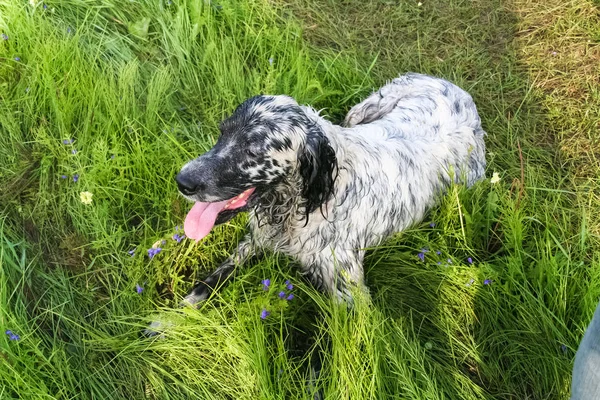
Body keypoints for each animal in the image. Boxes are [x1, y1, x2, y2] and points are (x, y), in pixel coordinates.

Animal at [171, 73, 486, 304]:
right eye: (222, 133)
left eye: (253, 150)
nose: (182, 181)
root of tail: (456, 87)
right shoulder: (258, 239)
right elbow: (213, 278)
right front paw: (171, 319)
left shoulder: (349, 292)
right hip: (362, 110)